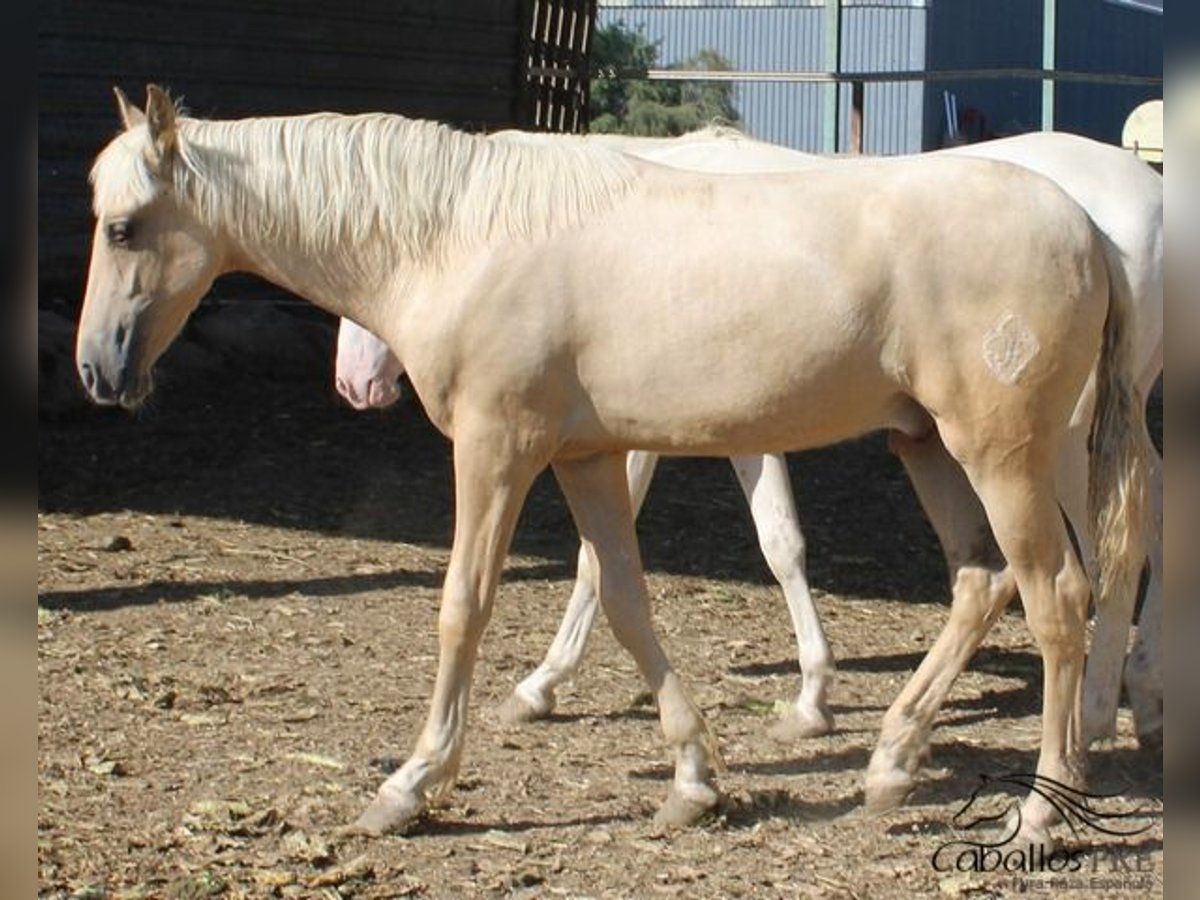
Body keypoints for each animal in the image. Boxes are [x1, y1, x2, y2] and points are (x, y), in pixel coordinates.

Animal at [328, 130, 1161, 768]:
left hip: (1055, 446)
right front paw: (811, 698)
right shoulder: (736, 434)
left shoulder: (635, 438)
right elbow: (778, 542)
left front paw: (540, 684)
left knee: (1109, 557)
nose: (355, 384)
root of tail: (1116, 223)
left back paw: (1094, 718)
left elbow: (605, 561)